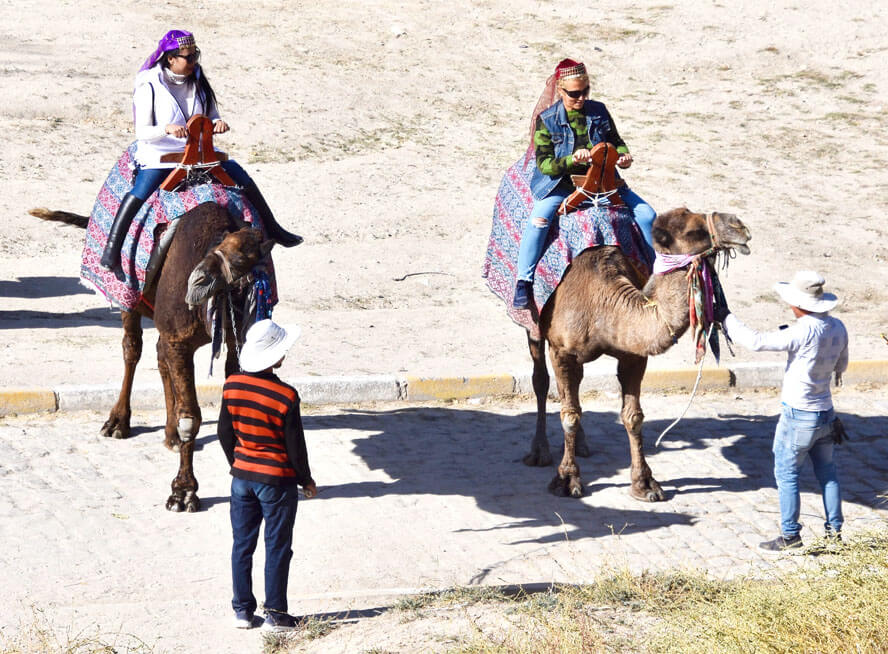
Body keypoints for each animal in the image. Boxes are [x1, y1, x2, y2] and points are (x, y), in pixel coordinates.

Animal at [31, 202, 275, 512]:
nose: (252, 328)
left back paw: (170, 435)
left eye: (264, 287)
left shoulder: (227, 343)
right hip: (128, 299)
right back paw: (118, 422)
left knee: (159, 356)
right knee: (132, 348)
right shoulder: (179, 340)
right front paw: (183, 491)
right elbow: (190, 417)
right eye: (236, 287)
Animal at [524, 207, 751, 500]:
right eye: (694, 231)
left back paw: (583, 445)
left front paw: (645, 484)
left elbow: (633, 417)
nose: (740, 226)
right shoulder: (562, 352)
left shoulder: (633, 355)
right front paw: (567, 480)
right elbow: (569, 415)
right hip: (532, 324)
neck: (603, 305)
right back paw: (538, 451)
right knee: (541, 381)